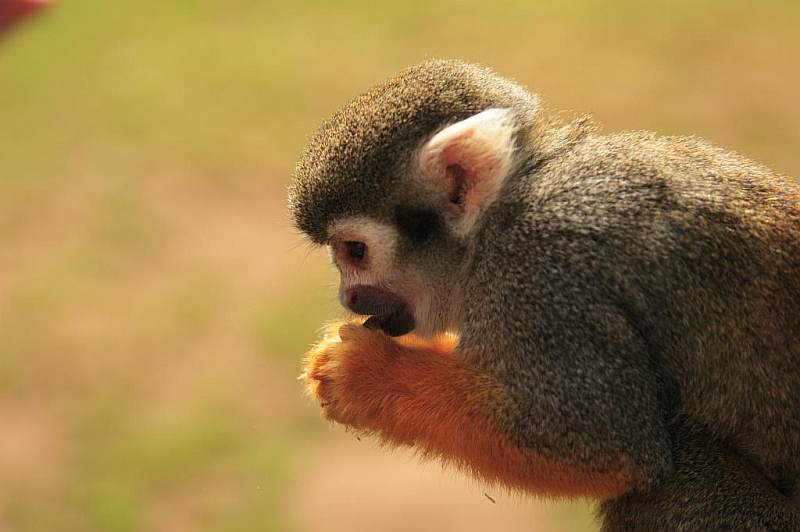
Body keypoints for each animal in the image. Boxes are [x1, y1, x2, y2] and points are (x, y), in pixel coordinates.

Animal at [288, 60, 800, 528]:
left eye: (354, 252)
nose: (348, 298)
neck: (499, 218)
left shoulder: (545, 281)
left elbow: (605, 448)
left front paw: (368, 374)